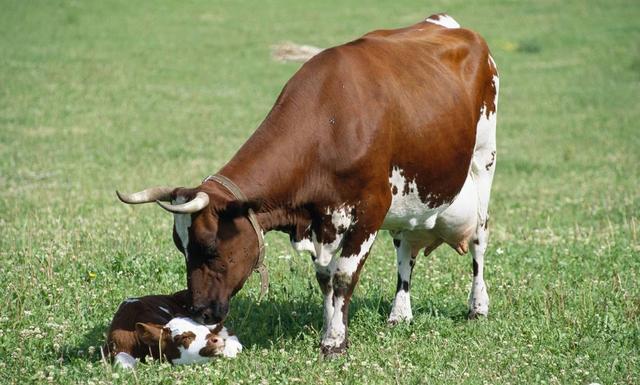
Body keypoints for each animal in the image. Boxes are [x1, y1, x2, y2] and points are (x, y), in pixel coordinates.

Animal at [116, 14, 500, 356]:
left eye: (209, 247)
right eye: (181, 248)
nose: (198, 311)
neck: (331, 122)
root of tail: (449, 24)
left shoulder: (371, 209)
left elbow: (343, 276)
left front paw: (335, 342)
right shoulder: (322, 220)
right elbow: (325, 279)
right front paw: (331, 326)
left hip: (484, 159)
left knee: (479, 239)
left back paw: (478, 306)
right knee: (405, 249)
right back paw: (400, 313)